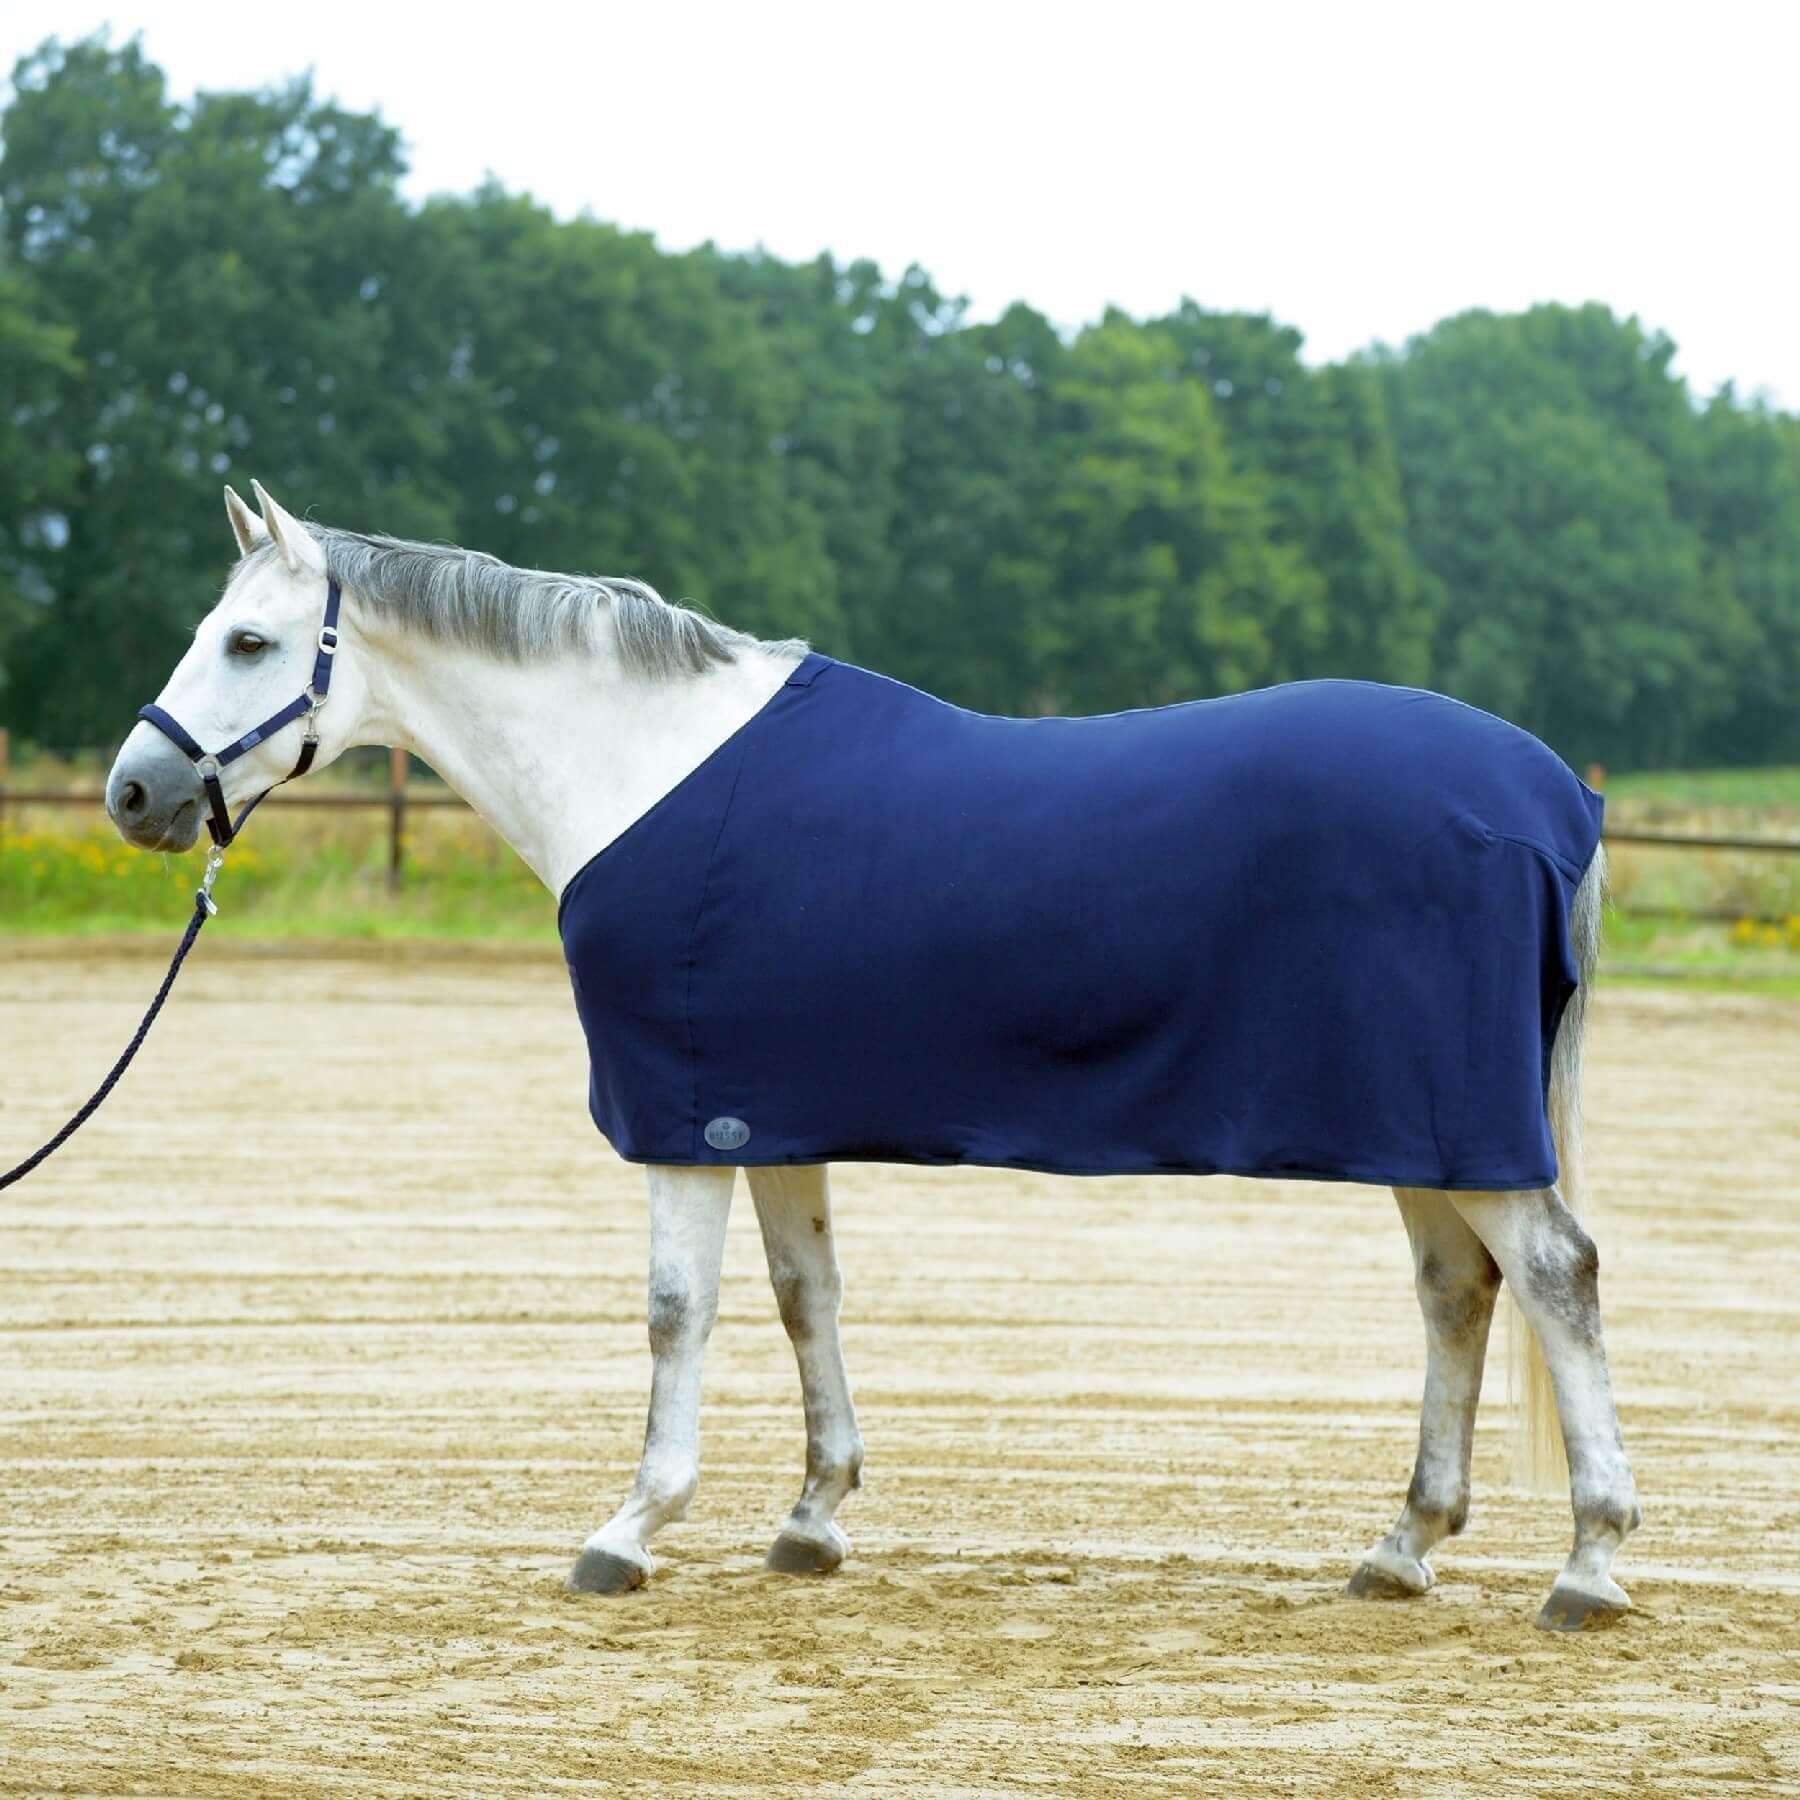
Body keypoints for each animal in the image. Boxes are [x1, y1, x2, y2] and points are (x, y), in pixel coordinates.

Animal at [103, 481, 1640, 1630]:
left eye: (249, 644)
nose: (135, 791)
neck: (643, 764)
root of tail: (1553, 793)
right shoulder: (761, 1115)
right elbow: (805, 1296)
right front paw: (812, 1516)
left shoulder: (682, 1122)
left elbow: (678, 1313)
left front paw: (631, 1528)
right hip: (1426, 1132)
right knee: (1457, 1292)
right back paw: (1403, 1547)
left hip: (1465, 1133)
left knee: (1555, 1277)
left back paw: (1589, 1563)